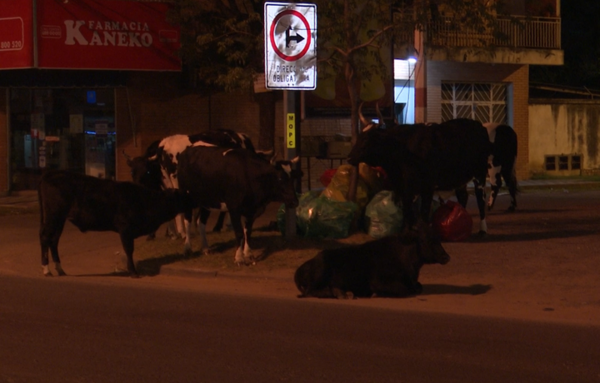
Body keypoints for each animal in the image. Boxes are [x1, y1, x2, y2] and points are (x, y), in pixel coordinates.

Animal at [38, 172, 192, 280]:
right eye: (183, 196)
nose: (193, 203)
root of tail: (50, 174)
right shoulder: (125, 229)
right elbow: (129, 250)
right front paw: (133, 272)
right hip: (54, 216)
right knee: (45, 238)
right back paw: (46, 270)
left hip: (60, 220)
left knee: (54, 241)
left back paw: (60, 269)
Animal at [296, 222, 450, 300]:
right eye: (426, 240)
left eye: (437, 237)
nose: (446, 257)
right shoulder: (379, 282)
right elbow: (404, 290)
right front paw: (376, 294)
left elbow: (418, 287)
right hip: (320, 274)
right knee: (311, 292)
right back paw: (340, 293)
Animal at [346, 112, 492, 236]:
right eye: (358, 137)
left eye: (367, 140)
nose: (349, 158)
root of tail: (477, 125)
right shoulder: (403, 187)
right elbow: (407, 209)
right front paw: (406, 231)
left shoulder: (428, 186)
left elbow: (424, 211)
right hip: (459, 179)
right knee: (463, 196)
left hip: (480, 174)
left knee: (480, 199)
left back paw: (483, 229)